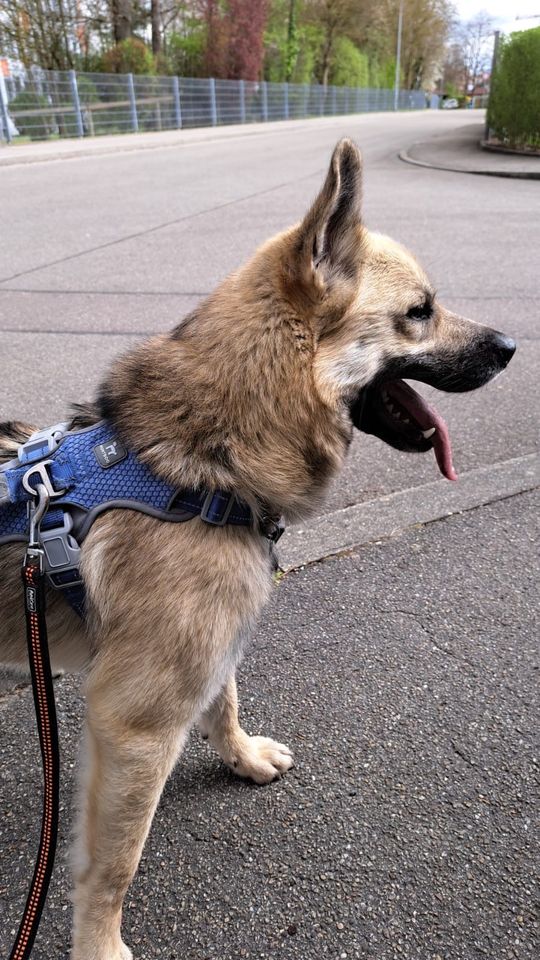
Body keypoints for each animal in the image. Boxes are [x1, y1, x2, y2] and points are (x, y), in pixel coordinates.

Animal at [0, 137, 516, 960]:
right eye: (420, 312)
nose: (512, 346)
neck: (204, 459)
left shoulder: (210, 652)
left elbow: (227, 701)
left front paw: (240, 758)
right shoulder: (136, 728)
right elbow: (112, 865)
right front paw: (100, 947)